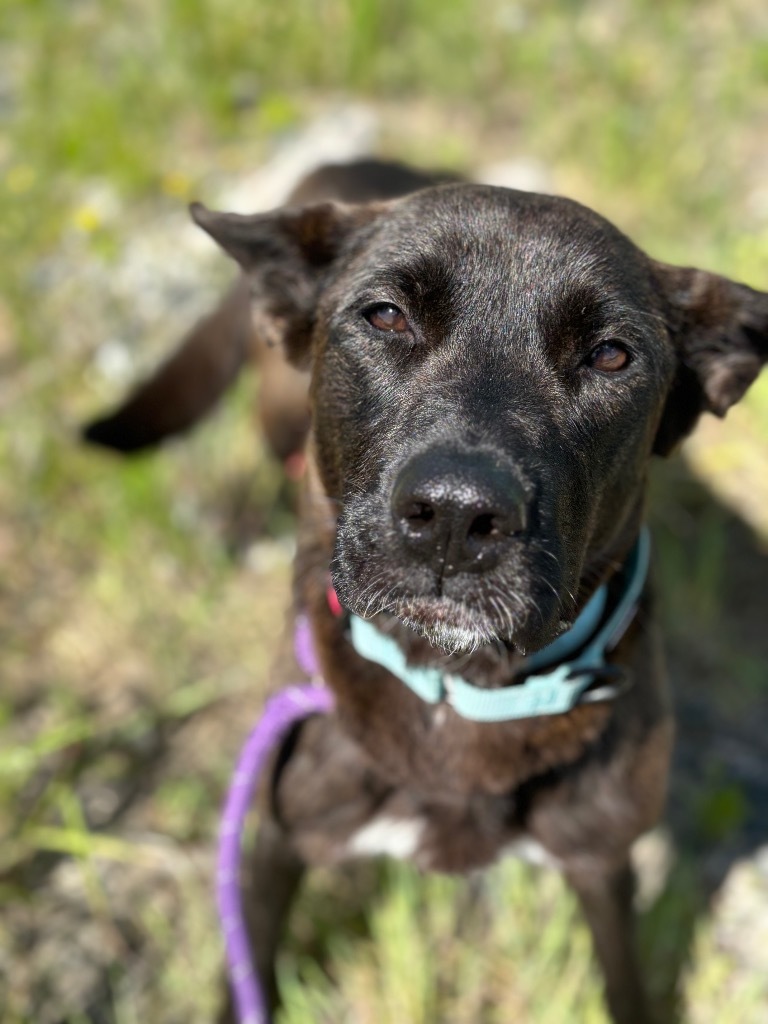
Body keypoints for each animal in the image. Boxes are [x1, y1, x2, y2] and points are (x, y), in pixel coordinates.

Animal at [83, 159, 768, 1024]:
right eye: (385, 316)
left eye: (611, 357)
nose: (454, 516)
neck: (455, 689)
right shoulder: (276, 837)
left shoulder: (602, 860)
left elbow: (626, 982)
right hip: (275, 408)